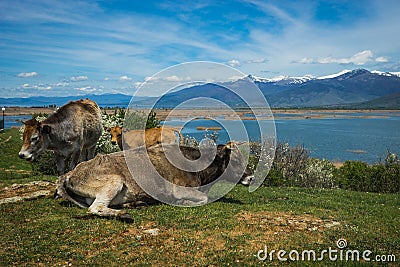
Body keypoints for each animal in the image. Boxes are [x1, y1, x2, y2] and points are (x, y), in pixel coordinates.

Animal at [55, 143, 253, 223]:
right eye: (236, 161)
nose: (251, 177)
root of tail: (70, 173)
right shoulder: (180, 189)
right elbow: (204, 198)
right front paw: (183, 202)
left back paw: (137, 203)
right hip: (114, 181)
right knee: (95, 208)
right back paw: (124, 214)